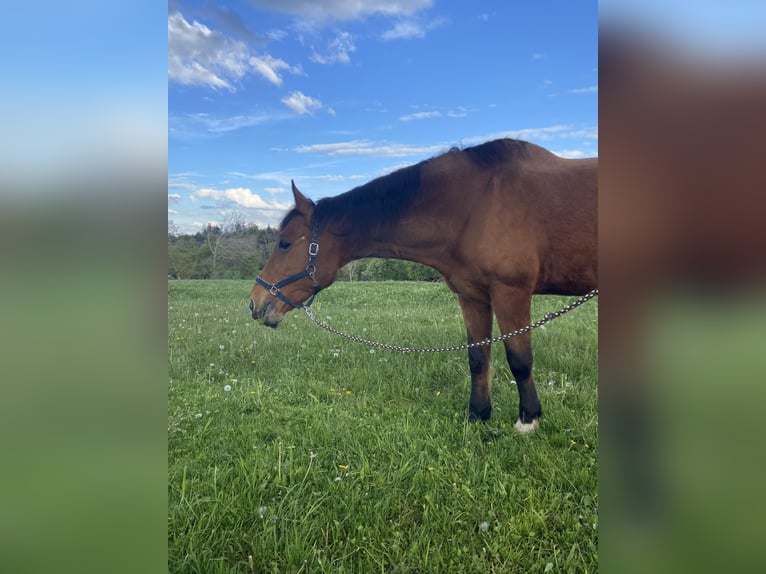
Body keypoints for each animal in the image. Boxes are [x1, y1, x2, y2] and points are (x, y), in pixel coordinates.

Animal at [252, 140, 600, 434]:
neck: (476, 204)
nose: (255, 302)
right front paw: (478, 415)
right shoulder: (472, 297)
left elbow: (520, 359)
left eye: (284, 243)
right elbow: (478, 357)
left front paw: (528, 420)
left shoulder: (510, 293)